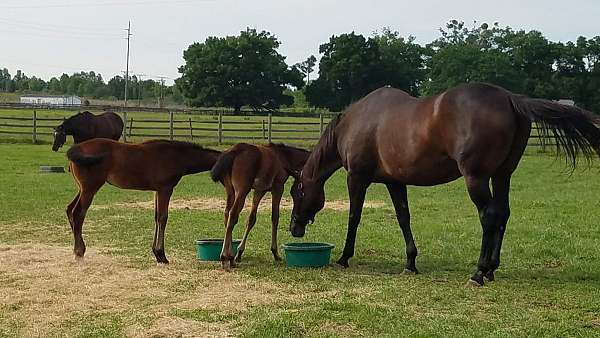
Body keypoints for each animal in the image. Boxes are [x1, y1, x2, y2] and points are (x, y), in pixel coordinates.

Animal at [63, 139, 223, 262]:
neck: (177, 156)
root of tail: (76, 148)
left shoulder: (157, 190)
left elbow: (157, 217)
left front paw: (156, 253)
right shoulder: (166, 189)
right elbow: (163, 218)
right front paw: (162, 255)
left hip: (82, 188)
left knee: (70, 210)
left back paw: (78, 250)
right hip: (90, 188)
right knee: (78, 213)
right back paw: (79, 252)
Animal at [288, 82, 600, 286]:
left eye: (296, 192)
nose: (294, 228)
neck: (358, 121)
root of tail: (510, 98)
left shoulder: (357, 178)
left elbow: (354, 217)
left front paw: (344, 257)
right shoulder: (394, 182)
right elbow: (403, 218)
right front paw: (410, 263)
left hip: (476, 178)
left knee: (489, 216)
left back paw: (478, 273)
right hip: (502, 175)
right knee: (502, 215)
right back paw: (491, 270)